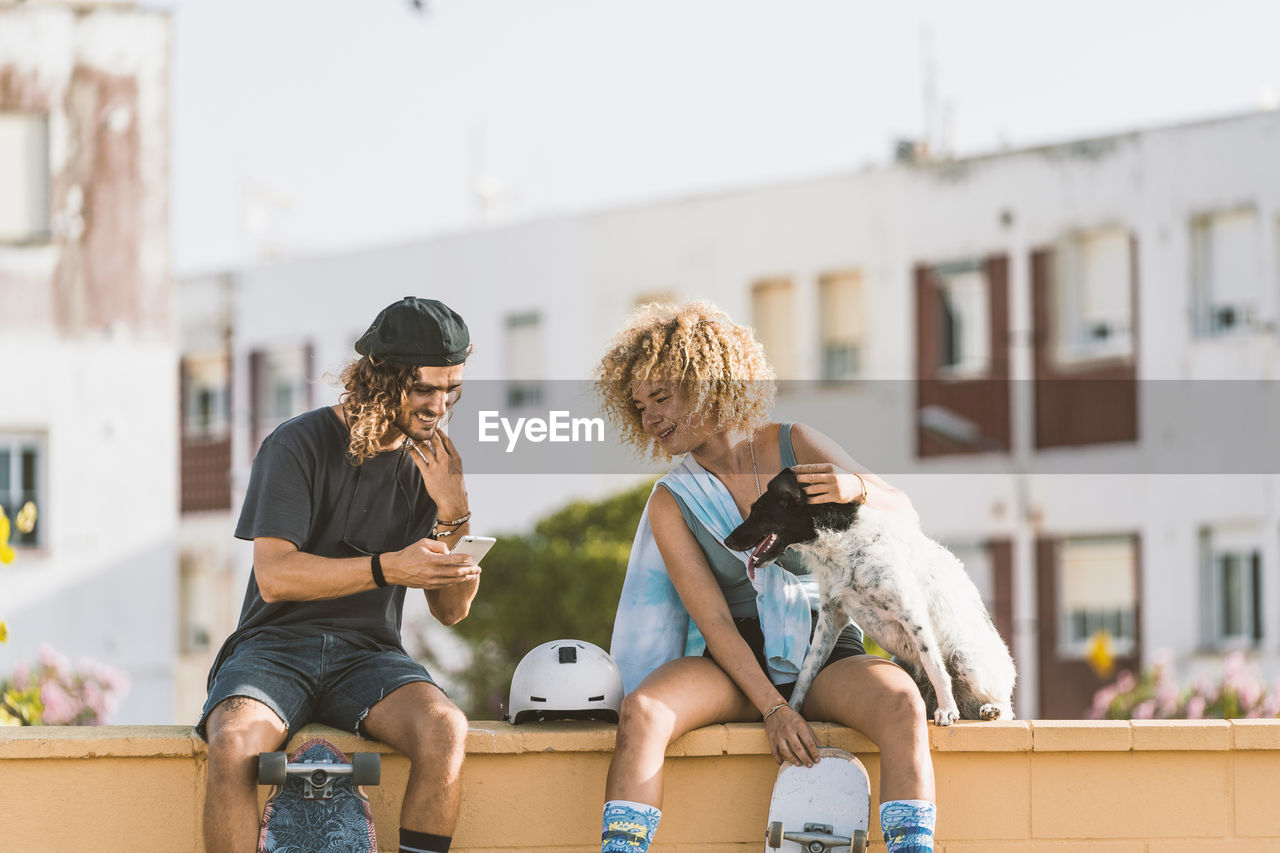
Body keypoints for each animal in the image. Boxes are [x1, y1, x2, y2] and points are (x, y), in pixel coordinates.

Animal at [727, 466, 1013, 722]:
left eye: (757, 511)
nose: (727, 541)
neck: (843, 544)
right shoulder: (831, 618)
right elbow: (806, 672)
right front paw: (793, 712)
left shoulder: (912, 613)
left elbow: (934, 665)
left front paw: (947, 710)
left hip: (965, 658)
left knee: (1005, 707)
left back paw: (990, 709)